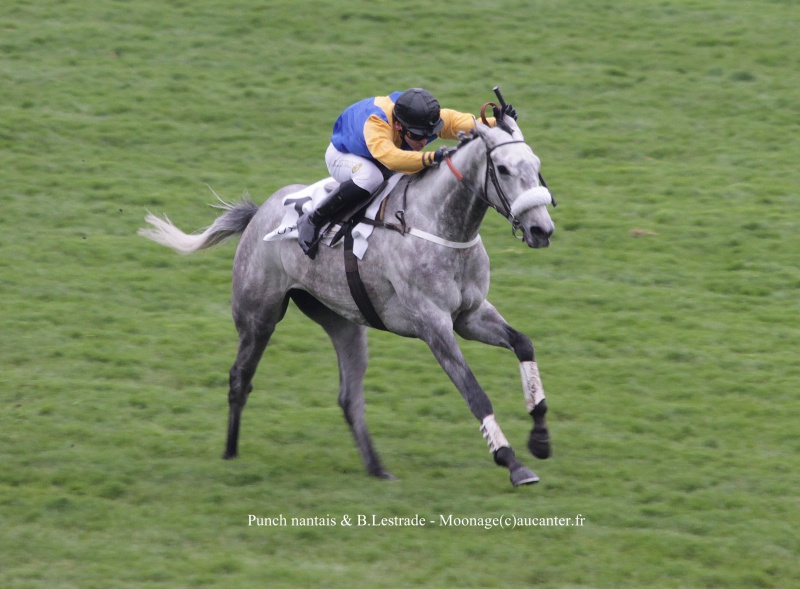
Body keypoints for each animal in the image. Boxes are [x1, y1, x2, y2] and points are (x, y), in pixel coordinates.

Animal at [141, 116, 552, 486]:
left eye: (536, 166)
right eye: (503, 168)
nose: (541, 230)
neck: (436, 225)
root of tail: (259, 213)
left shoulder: (470, 315)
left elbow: (524, 344)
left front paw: (540, 438)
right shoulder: (433, 325)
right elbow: (474, 393)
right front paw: (512, 462)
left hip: (344, 322)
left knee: (348, 397)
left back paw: (377, 468)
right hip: (258, 317)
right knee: (240, 378)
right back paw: (230, 453)